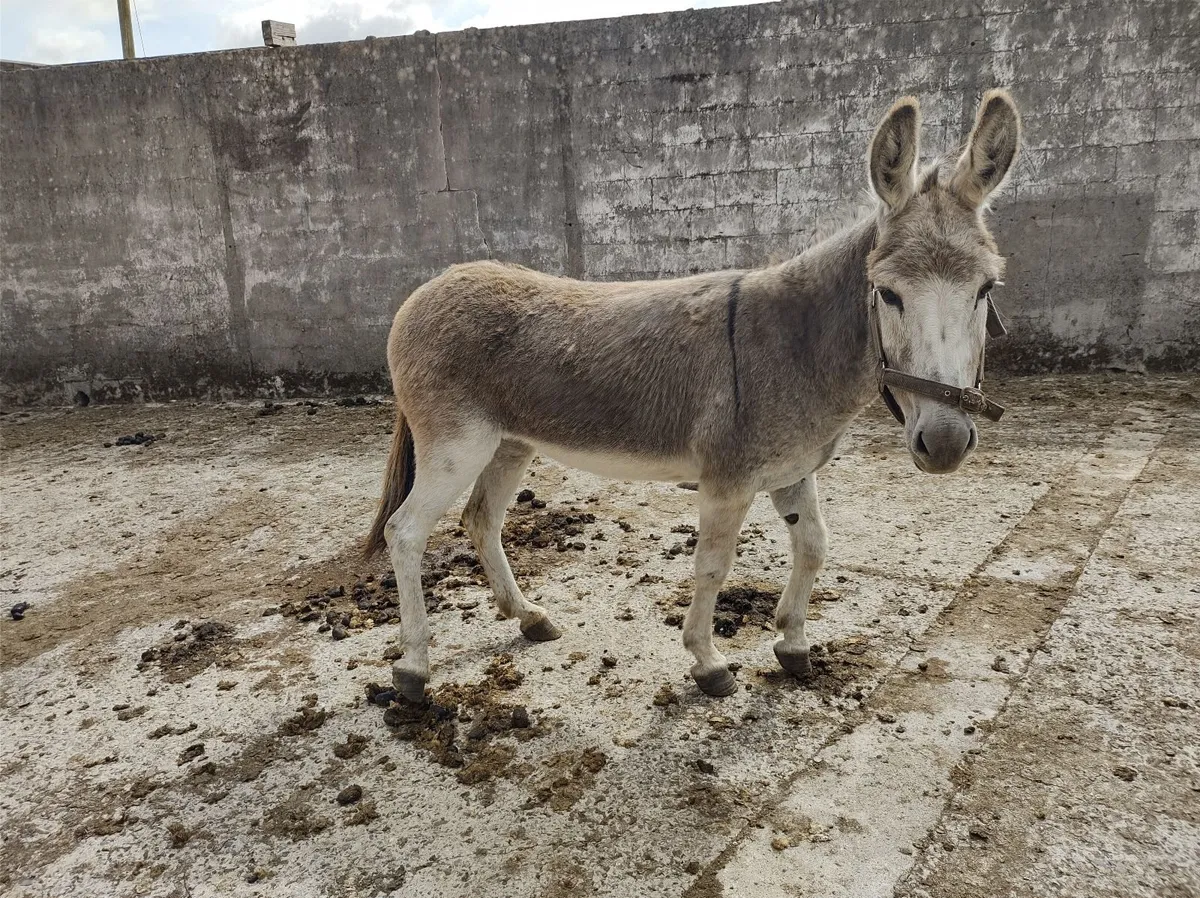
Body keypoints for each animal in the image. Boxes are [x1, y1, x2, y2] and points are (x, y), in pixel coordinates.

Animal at [364, 90, 1022, 700]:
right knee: (406, 532)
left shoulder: (792, 470)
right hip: (457, 444)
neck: (796, 346)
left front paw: (794, 644)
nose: (945, 442)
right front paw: (709, 664)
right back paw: (413, 667)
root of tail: (428, 287)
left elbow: (813, 546)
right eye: (888, 294)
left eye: (985, 289)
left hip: (511, 442)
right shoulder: (727, 480)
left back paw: (528, 618)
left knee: (481, 518)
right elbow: (713, 566)